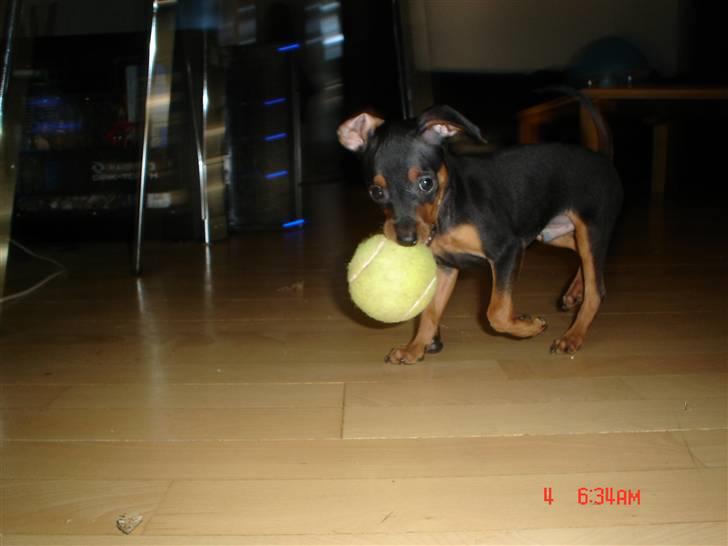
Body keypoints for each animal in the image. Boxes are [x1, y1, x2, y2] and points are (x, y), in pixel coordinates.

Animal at [338, 90, 624, 362]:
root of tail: (602, 157)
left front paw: (529, 326)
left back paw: (573, 335)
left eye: (426, 183)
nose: (406, 240)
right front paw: (415, 348)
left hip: (591, 229)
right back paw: (574, 291)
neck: (446, 211)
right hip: (550, 233)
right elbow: (430, 312)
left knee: (596, 288)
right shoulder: (445, 267)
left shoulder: (507, 249)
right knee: (579, 255)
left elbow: (496, 313)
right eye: (376, 192)